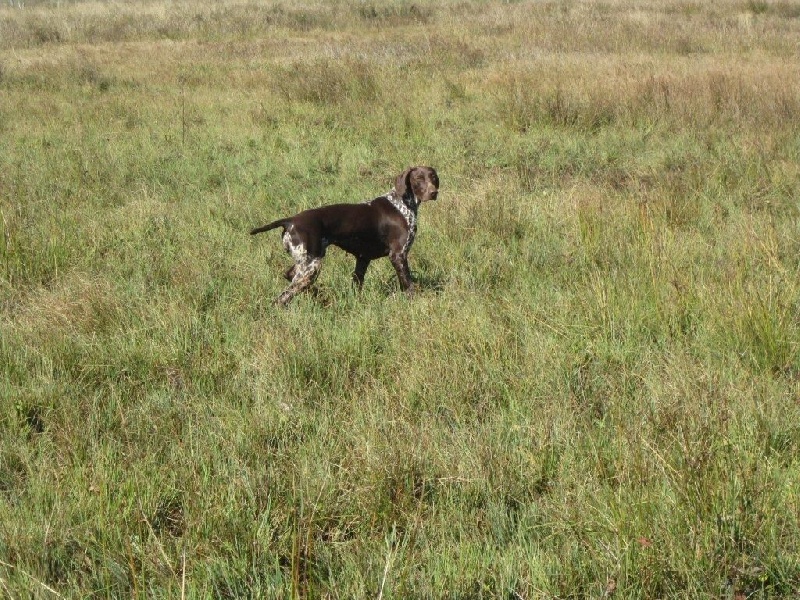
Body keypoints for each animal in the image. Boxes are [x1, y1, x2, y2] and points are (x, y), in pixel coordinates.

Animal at [250, 166, 439, 306]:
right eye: (418, 179)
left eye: (433, 177)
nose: (434, 192)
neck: (402, 203)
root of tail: (290, 221)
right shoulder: (398, 255)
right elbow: (408, 285)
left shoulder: (363, 259)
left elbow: (357, 284)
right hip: (311, 266)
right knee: (282, 297)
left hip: (305, 264)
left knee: (289, 276)